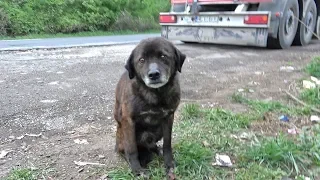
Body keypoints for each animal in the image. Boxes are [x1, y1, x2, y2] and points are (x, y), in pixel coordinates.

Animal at [114, 37, 186, 179]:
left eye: (163, 56)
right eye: (141, 60)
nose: (153, 74)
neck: (155, 94)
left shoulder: (168, 117)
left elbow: (167, 144)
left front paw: (169, 163)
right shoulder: (128, 121)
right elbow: (132, 149)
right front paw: (137, 170)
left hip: (157, 131)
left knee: (152, 145)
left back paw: (157, 150)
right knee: (126, 149)